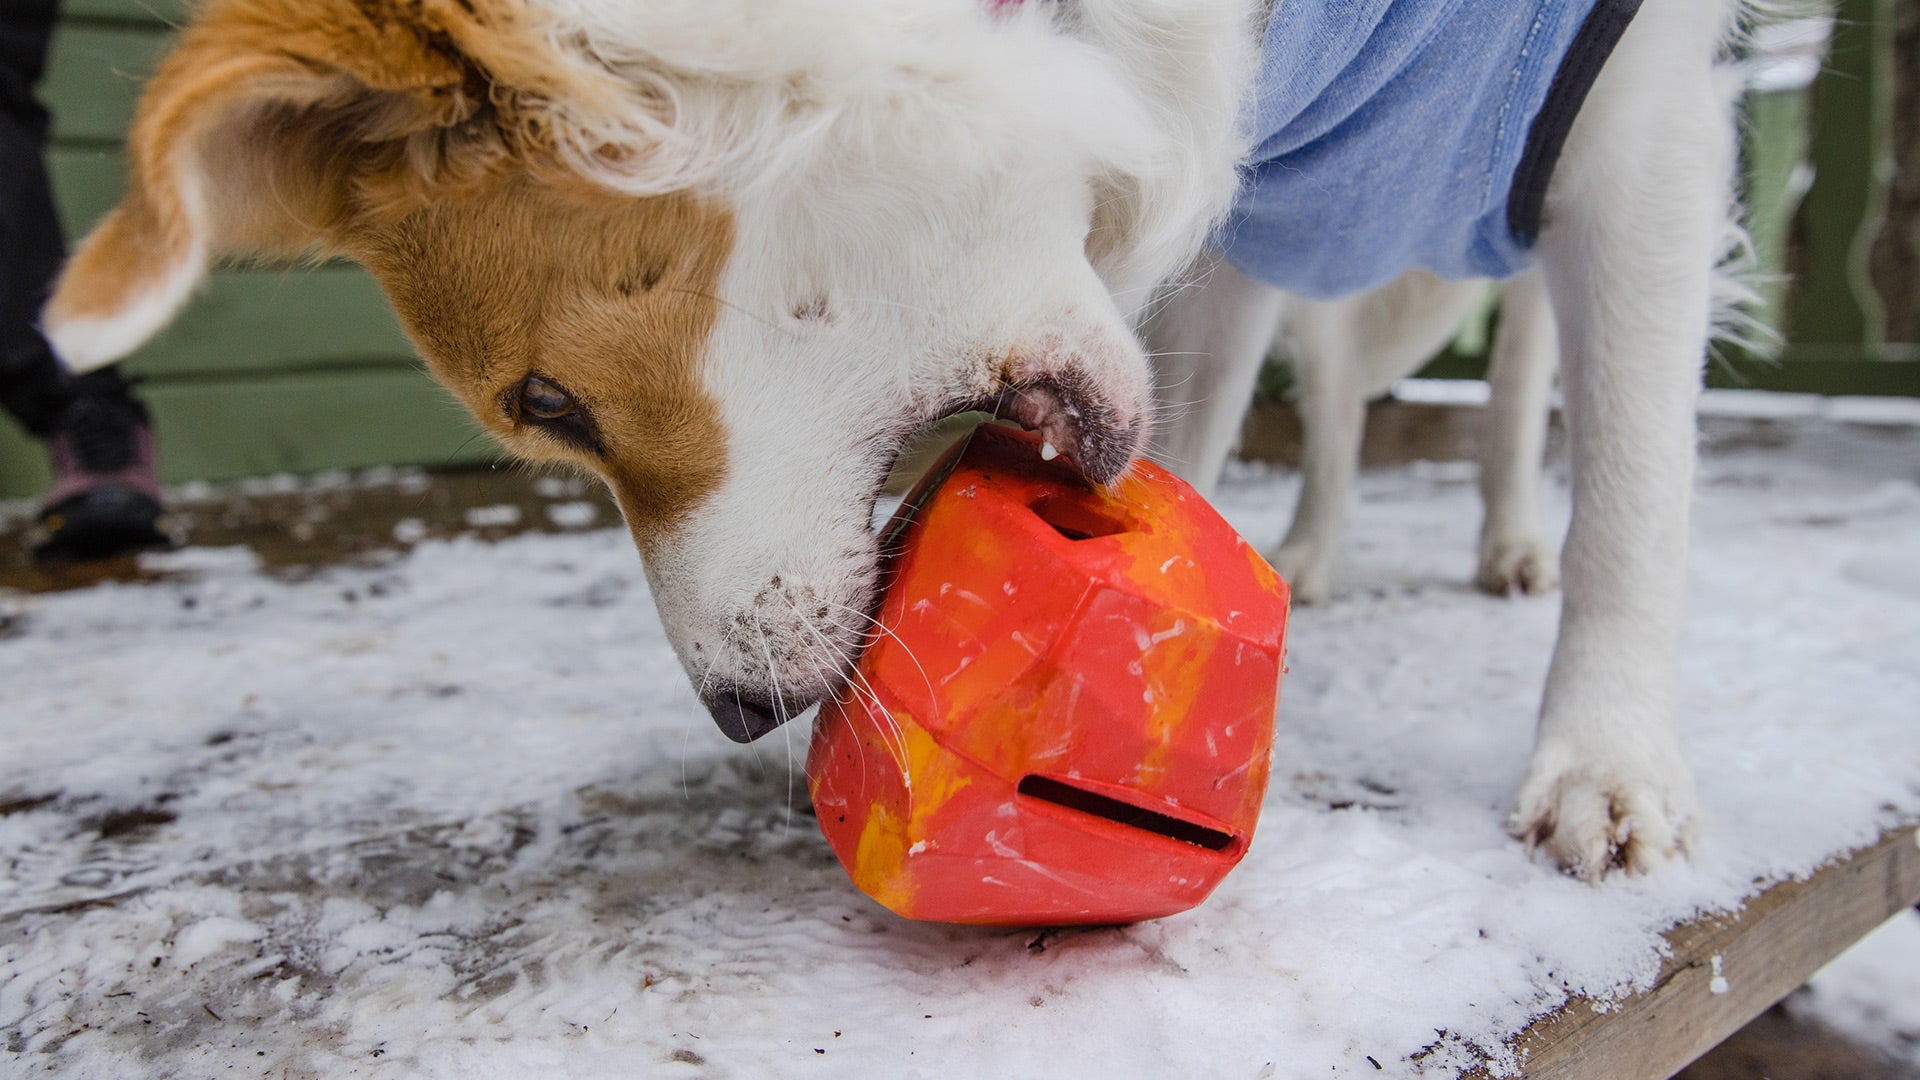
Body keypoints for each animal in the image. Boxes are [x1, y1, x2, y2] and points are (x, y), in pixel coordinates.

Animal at [41, 0, 1758, 876]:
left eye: (551, 403)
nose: (739, 715)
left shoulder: (1639, 114)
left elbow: (1638, 491)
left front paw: (1610, 761)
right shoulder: (1231, 228)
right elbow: (1205, 426)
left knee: (1521, 373)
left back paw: (1509, 541)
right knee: (1335, 398)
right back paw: (1321, 548)